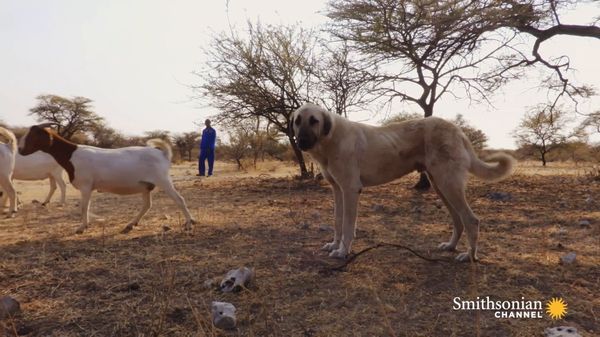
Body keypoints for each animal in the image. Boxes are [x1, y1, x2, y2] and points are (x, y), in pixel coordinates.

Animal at [18, 124, 196, 234]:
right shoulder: (88, 188)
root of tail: (162, 154)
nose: (20, 150)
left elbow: (84, 207)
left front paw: (81, 227)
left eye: (34, 135)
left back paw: (189, 222)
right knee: (147, 205)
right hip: (146, 185)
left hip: (163, 180)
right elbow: (86, 207)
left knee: (179, 199)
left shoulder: (86, 186)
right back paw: (130, 224)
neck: (71, 155)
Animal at [292, 103, 516, 262]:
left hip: (448, 184)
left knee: (471, 220)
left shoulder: (350, 190)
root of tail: (458, 130)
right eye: (297, 121)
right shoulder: (337, 190)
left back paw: (469, 256)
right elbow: (337, 222)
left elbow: (347, 226)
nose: (301, 142)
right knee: (458, 220)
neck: (329, 139)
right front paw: (334, 245)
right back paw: (451, 247)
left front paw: (343, 251)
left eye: (314, 121)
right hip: (440, 185)